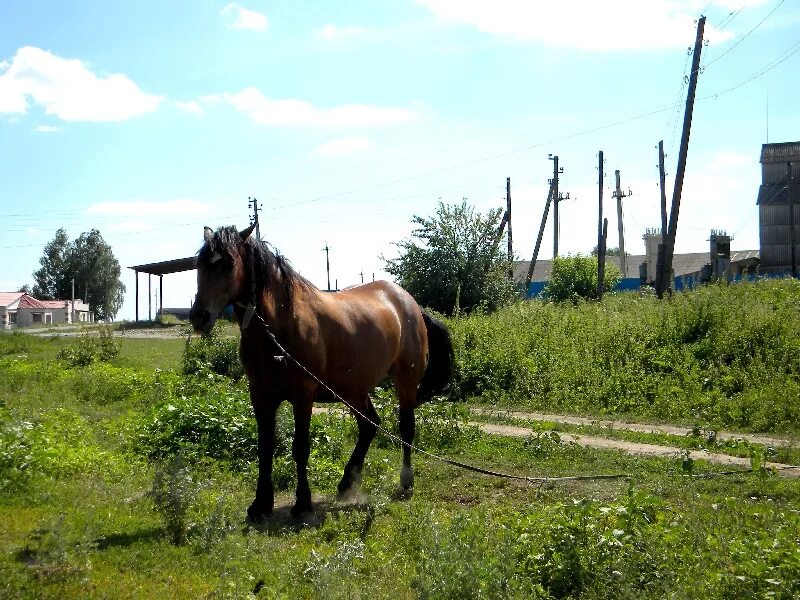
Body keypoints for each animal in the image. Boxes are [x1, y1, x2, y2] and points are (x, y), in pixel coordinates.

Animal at [184, 225, 454, 520]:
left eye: (229, 264)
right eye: (199, 264)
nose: (199, 317)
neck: (281, 327)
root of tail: (410, 303)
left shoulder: (303, 395)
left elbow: (300, 447)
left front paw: (303, 503)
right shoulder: (260, 395)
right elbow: (265, 447)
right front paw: (261, 503)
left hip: (404, 379)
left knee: (406, 427)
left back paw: (405, 482)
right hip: (354, 388)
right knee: (369, 425)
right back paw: (347, 482)